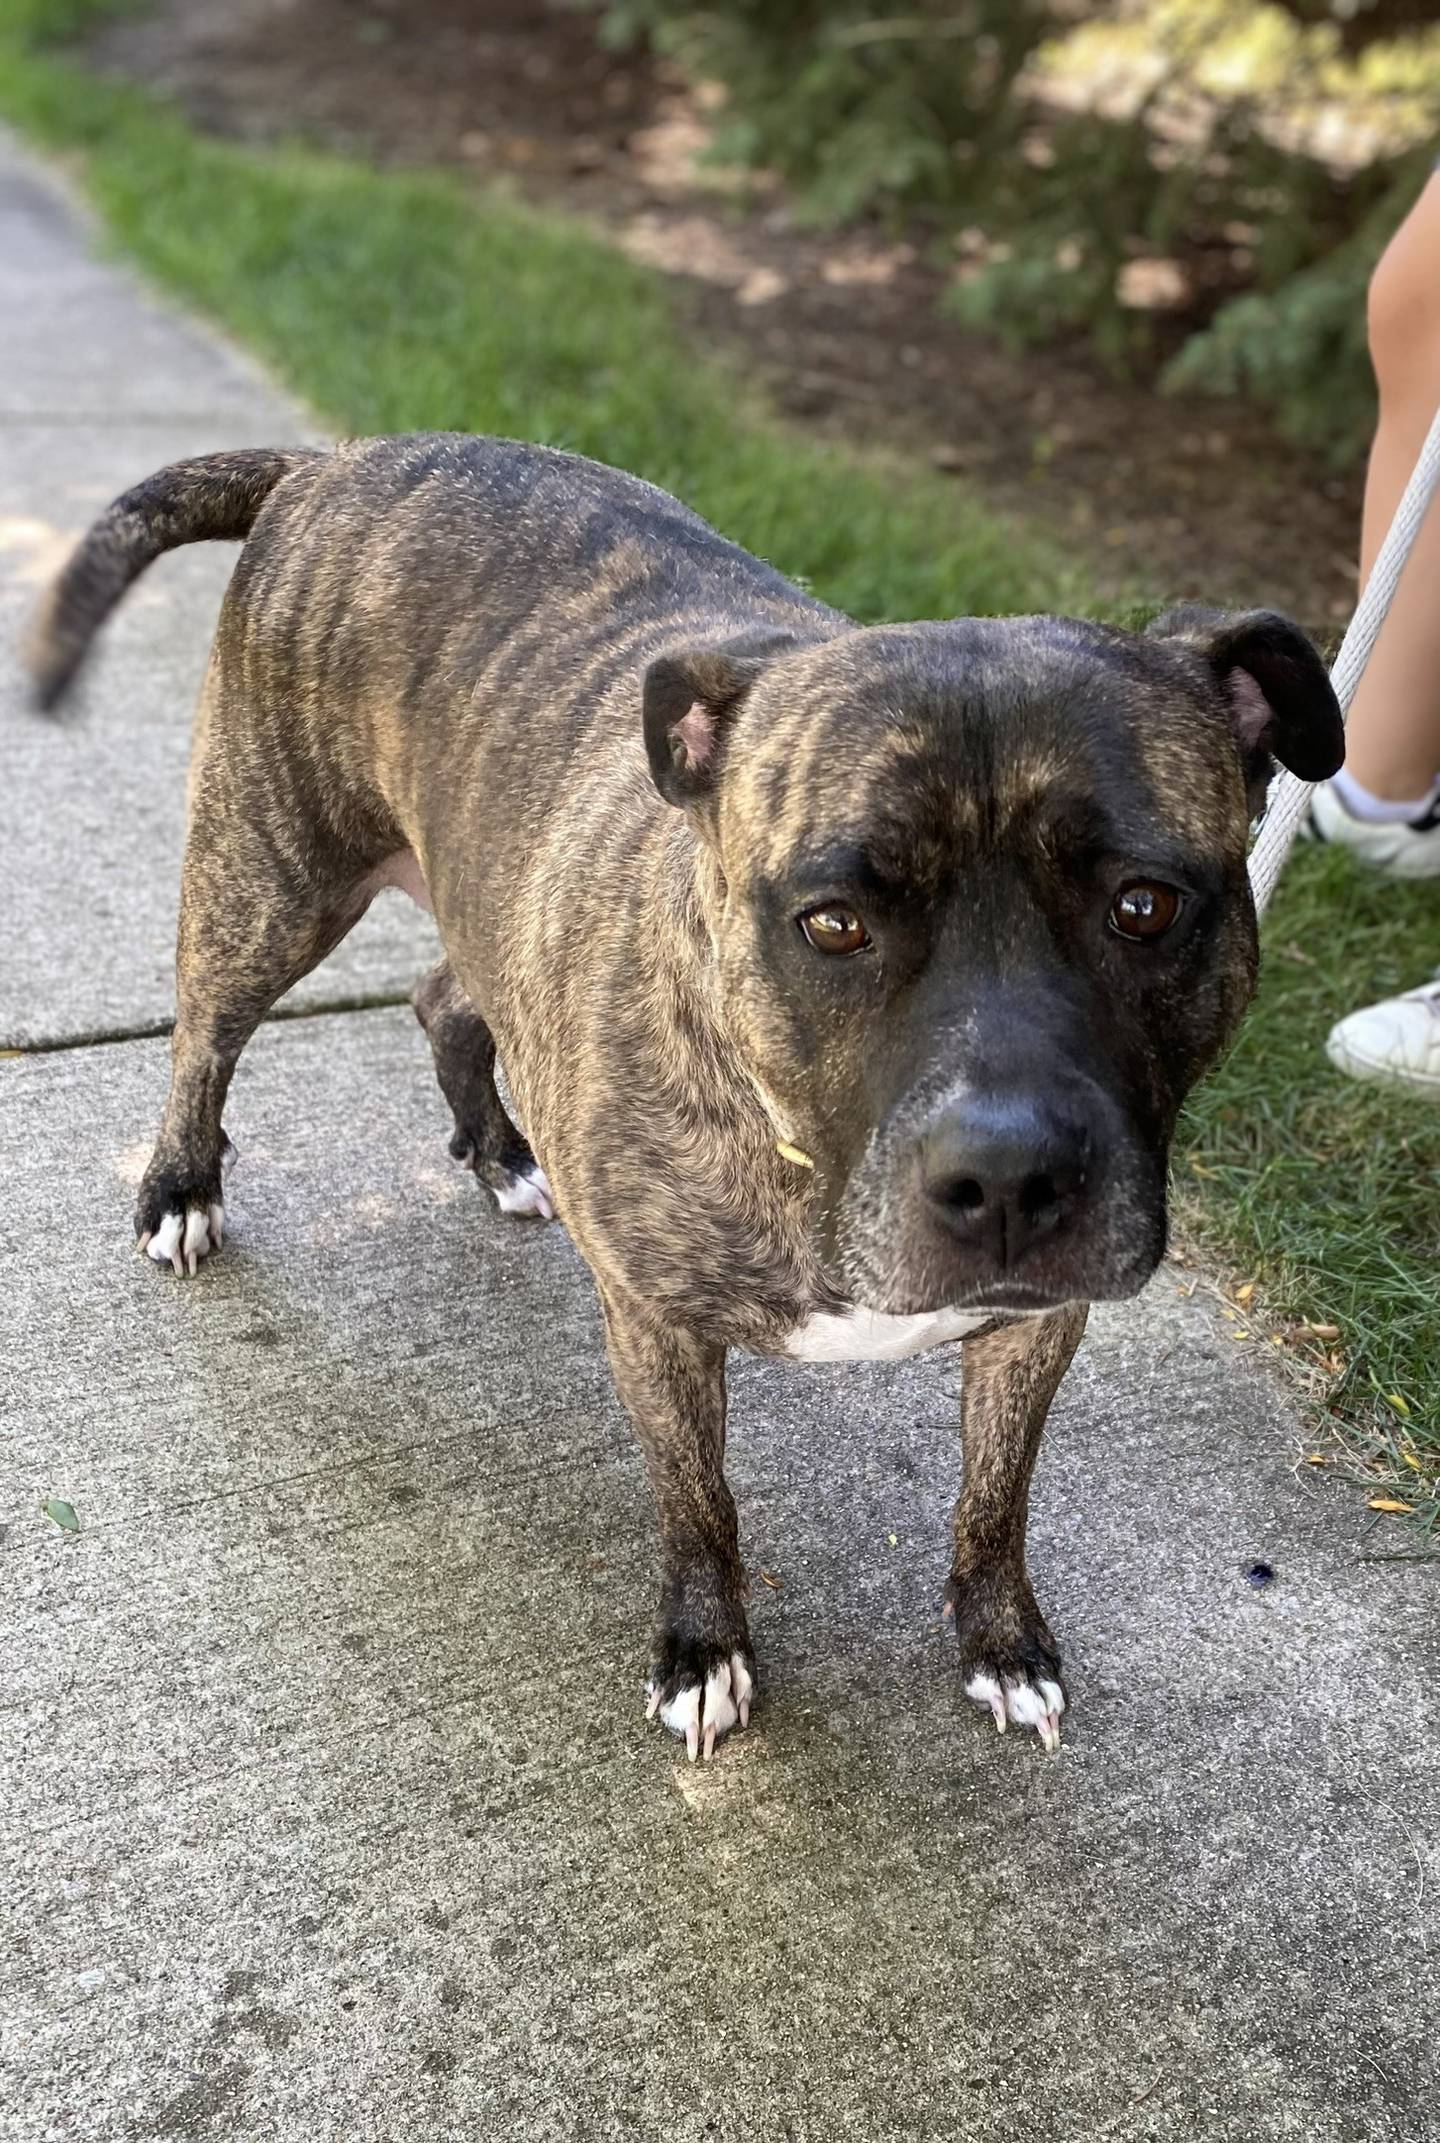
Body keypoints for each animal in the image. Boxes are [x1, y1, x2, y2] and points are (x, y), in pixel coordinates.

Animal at [30, 435, 1337, 1757]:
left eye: (1144, 905)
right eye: (833, 922)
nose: (1010, 1174)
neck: (797, 1148)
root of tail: (336, 460)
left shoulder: (1035, 1326)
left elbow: (997, 1491)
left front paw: (1002, 1637)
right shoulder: (657, 1330)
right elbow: (699, 1500)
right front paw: (704, 1649)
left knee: (447, 997)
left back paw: (500, 1149)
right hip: (269, 882)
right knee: (206, 1031)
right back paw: (182, 1187)